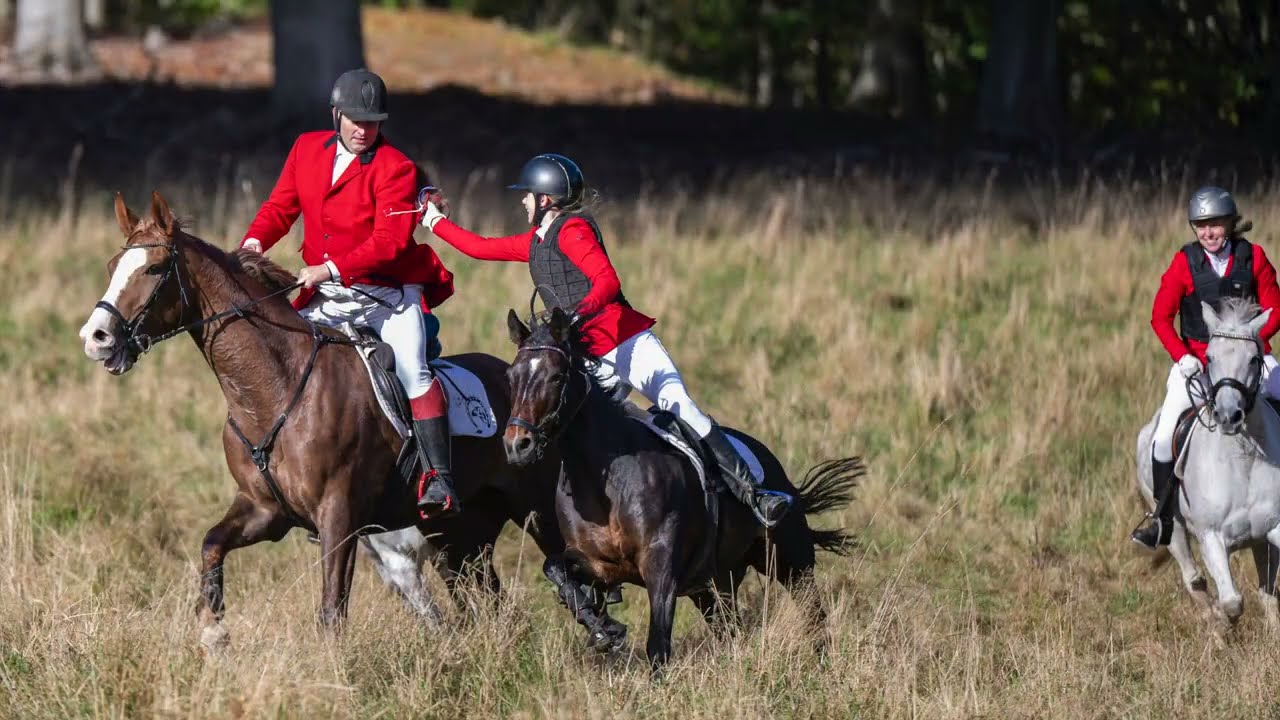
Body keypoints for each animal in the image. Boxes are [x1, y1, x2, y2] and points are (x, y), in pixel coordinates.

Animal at [77, 191, 567, 649]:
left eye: (155, 269)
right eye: (112, 266)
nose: (95, 338)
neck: (274, 389)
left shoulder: (340, 516)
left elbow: (333, 609)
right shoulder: (265, 511)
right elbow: (212, 546)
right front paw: (214, 632)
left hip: (532, 512)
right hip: (461, 536)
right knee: (491, 601)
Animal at [502, 307, 862, 673]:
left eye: (556, 376)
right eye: (511, 377)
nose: (518, 445)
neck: (605, 484)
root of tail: (773, 465)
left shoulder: (661, 567)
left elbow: (658, 644)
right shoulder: (597, 563)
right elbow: (554, 567)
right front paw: (604, 629)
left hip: (790, 560)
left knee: (813, 613)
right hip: (714, 583)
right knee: (731, 629)